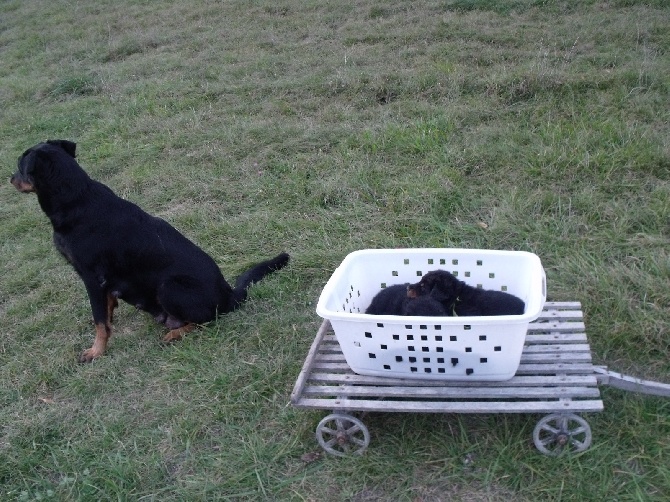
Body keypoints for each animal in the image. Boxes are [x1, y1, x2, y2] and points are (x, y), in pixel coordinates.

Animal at [9, 140, 288, 360]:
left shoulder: (91, 277)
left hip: (169, 286)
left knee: (206, 320)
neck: (75, 199)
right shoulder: (103, 281)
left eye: (21, 167)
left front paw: (96, 351)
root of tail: (230, 294)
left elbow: (99, 322)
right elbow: (106, 311)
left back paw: (175, 333)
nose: (10, 179)